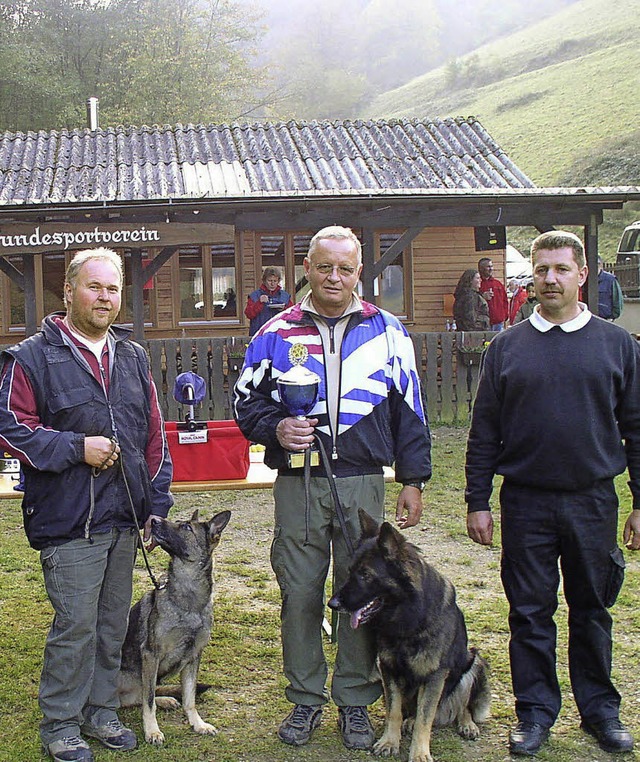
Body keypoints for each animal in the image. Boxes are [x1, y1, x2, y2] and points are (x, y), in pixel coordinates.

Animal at [118, 510, 232, 744]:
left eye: (186, 527)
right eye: (178, 522)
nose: (154, 521)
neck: (188, 601)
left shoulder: (193, 657)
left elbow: (189, 698)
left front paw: (197, 724)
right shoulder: (151, 655)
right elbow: (148, 701)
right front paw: (152, 731)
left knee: (136, 696)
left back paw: (166, 699)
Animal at [330, 508, 490, 760]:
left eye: (365, 575)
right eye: (350, 571)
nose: (332, 604)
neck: (408, 617)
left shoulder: (435, 676)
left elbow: (425, 718)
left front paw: (419, 753)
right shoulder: (388, 670)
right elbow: (394, 711)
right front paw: (389, 741)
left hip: (474, 661)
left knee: (462, 705)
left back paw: (467, 724)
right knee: (414, 712)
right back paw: (410, 722)